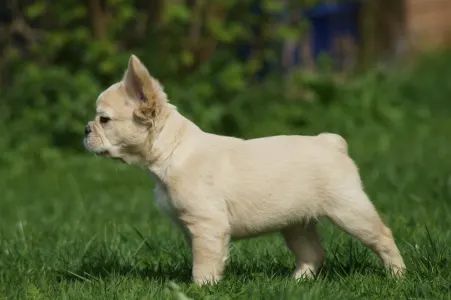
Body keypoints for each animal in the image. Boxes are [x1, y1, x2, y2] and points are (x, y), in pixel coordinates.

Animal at [84, 54, 406, 286]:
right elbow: (204, 258)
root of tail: (330, 142)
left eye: (104, 120)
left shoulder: (207, 225)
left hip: (349, 210)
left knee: (382, 236)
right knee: (312, 253)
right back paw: (296, 282)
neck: (172, 149)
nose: (86, 130)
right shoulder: (194, 229)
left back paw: (397, 276)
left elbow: (204, 262)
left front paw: (201, 288)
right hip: (295, 223)